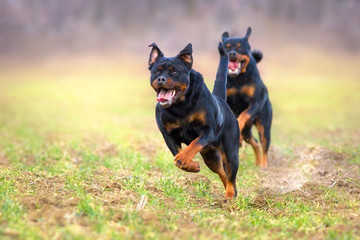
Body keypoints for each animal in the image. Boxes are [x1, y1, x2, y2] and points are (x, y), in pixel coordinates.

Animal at [148, 41, 240, 199]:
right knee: (222, 173)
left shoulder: (208, 130)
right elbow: (177, 155)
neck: (180, 105)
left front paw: (184, 157)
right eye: (157, 71)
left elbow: (194, 143)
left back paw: (230, 195)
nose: (161, 79)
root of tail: (222, 102)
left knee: (230, 175)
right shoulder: (168, 135)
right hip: (210, 156)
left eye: (174, 72)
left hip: (230, 151)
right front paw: (191, 165)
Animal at [221, 26, 272, 169]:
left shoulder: (255, 103)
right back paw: (257, 162)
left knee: (264, 145)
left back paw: (264, 165)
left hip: (264, 127)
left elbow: (243, 115)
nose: (231, 54)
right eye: (226, 47)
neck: (238, 78)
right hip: (247, 132)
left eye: (240, 47)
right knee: (254, 142)